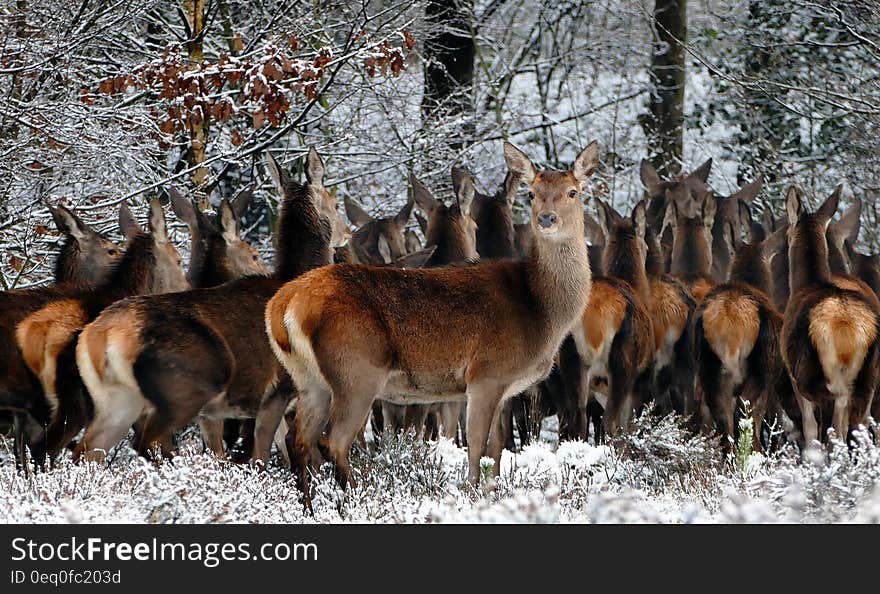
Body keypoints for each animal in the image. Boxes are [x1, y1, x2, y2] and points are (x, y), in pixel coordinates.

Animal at [72, 148, 344, 462]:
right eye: (335, 203)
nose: (348, 233)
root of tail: (103, 333)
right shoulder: (278, 392)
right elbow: (263, 457)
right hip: (185, 385)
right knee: (148, 442)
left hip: (114, 399)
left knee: (86, 450)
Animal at [266, 141, 600, 502]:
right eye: (532, 193)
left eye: (572, 191)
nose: (546, 218)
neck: (541, 309)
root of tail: (283, 304)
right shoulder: (486, 373)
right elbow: (476, 447)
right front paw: (474, 495)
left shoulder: (504, 388)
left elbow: (496, 449)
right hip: (356, 369)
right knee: (333, 441)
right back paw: (357, 499)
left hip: (310, 379)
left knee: (297, 440)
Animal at [780, 186, 876, 444]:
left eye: (786, 231)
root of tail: (848, 333)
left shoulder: (794, 379)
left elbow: (809, 428)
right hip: (867, 381)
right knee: (859, 428)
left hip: (818, 379)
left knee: (828, 434)